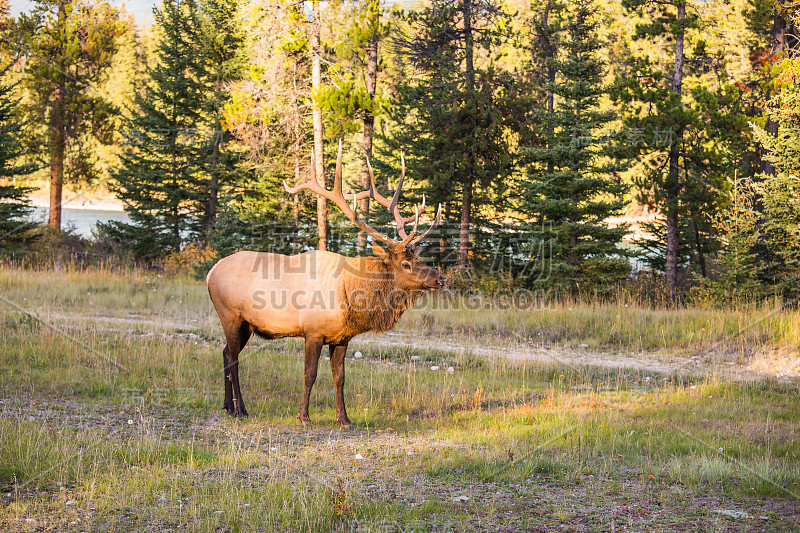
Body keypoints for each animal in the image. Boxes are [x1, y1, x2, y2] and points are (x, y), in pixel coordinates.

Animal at [206, 142, 444, 428]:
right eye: (406, 264)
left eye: (418, 257)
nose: (440, 278)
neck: (351, 296)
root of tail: (210, 273)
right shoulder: (313, 331)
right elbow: (310, 374)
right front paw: (304, 416)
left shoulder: (342, 337)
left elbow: (339, 378)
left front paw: (344, 419)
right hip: (231, 315)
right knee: (233, 359)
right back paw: (240, 409)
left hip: (246, 324)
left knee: (225, 353)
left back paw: (227, 406)